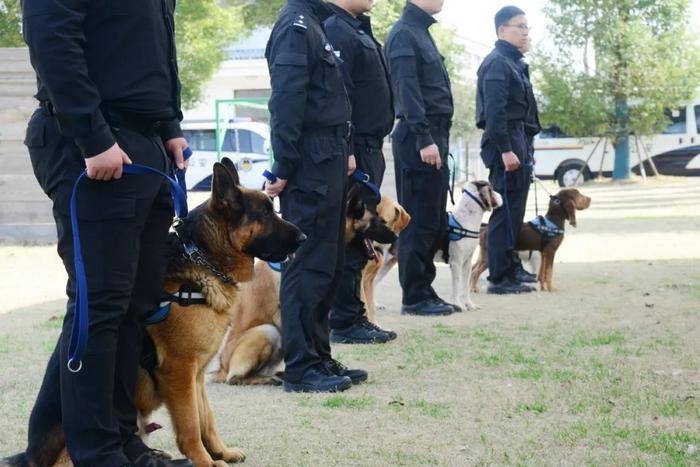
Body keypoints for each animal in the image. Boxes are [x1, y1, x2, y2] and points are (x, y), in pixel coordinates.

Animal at [213, 186, 396, 388]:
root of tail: (221, 368)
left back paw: (280, 375)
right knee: (235, 378)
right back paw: (269, 378)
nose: (395, 236)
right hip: (267, 331)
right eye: (376, 222)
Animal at [366, 179, 504, 318]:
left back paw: (376, 305)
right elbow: (457, 286)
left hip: (387, 264)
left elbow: (465, 287)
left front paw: (469, 305)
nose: (502, 196)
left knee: (373, 283)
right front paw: (459, 305)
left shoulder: (467, 263)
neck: (466, 220)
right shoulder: (456, 263)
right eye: (491, 190)